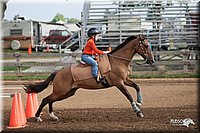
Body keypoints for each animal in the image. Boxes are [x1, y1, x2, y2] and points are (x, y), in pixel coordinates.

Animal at [23, 34, 155, 121]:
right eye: (146, 45)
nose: (152, 60)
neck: (118, 61)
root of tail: (58, 72)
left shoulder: (125, 80)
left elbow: (137, 86)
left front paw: (139, 102)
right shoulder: (119, 83)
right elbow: (128, 95)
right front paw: (137, 111)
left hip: (66, 93)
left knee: (50, 100)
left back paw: (53, 116)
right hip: (61, 91)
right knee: (46, 99)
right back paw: (37, 117)